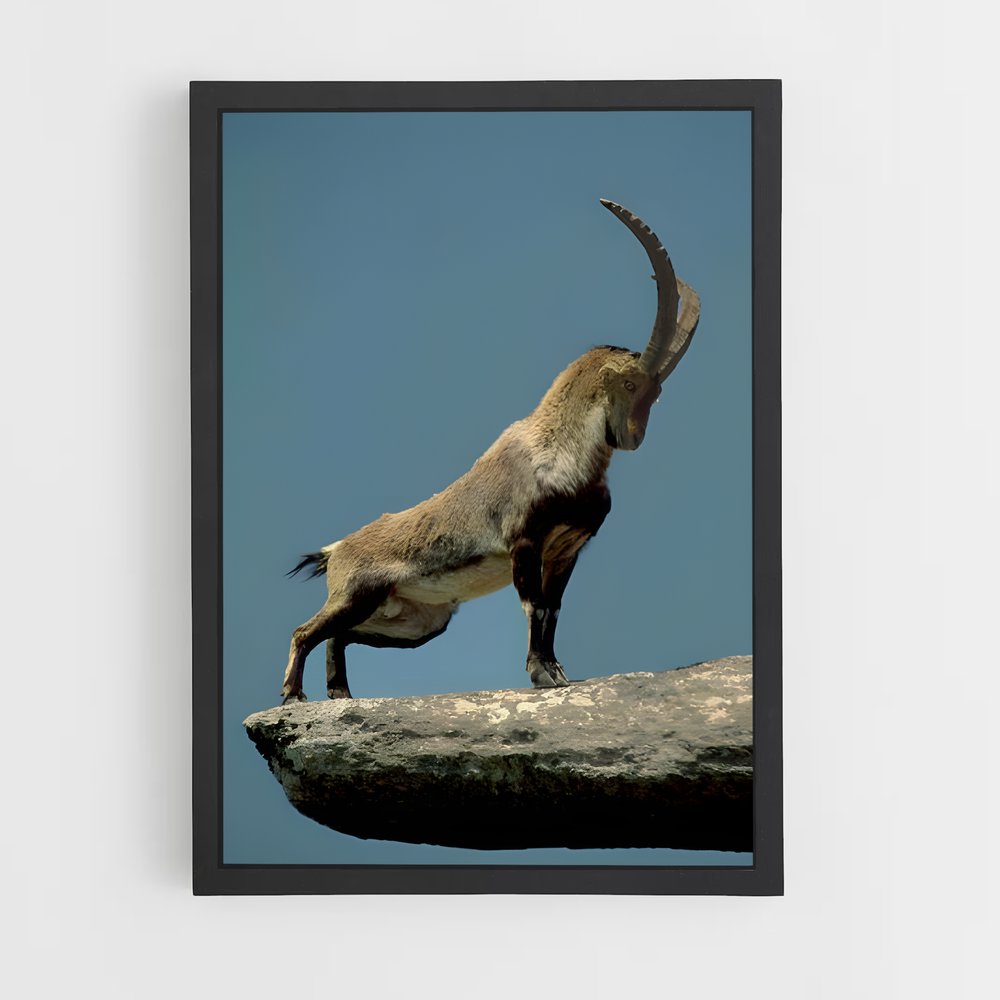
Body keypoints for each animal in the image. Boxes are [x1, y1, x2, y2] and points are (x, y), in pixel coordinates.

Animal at [281, 198, 700, 703]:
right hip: (356, 595)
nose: (634, 438)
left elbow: (554, 608)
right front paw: (541, 675)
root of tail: (336, 550)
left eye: (656, 394)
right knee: (305, 631)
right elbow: (535, 606)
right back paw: (293, 695)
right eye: (632, 384)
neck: (560, 455)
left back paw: (340, 695)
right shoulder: (525, 541)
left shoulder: (567, 549)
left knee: (338, 635)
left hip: (417, 620)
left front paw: (557, 671)